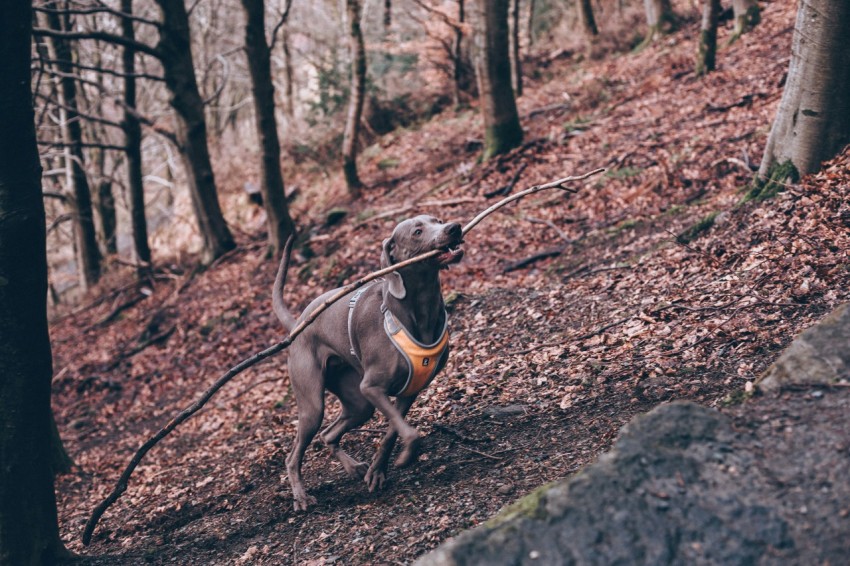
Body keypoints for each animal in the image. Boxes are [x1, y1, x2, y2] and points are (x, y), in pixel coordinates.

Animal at [274, 215, 464, 512]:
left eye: (438, 220)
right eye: (417, 231)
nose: (454, 227)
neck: (418, 310)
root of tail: (298, 324)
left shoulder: (409, 389)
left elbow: (392, 432)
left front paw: (377, 471)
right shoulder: (372, 387)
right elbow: (409, 433)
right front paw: (406, 456)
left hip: (358, 402)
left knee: (329, 434)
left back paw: (353, 468)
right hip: (313, 404)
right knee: (293, 455)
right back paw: (301, 496)